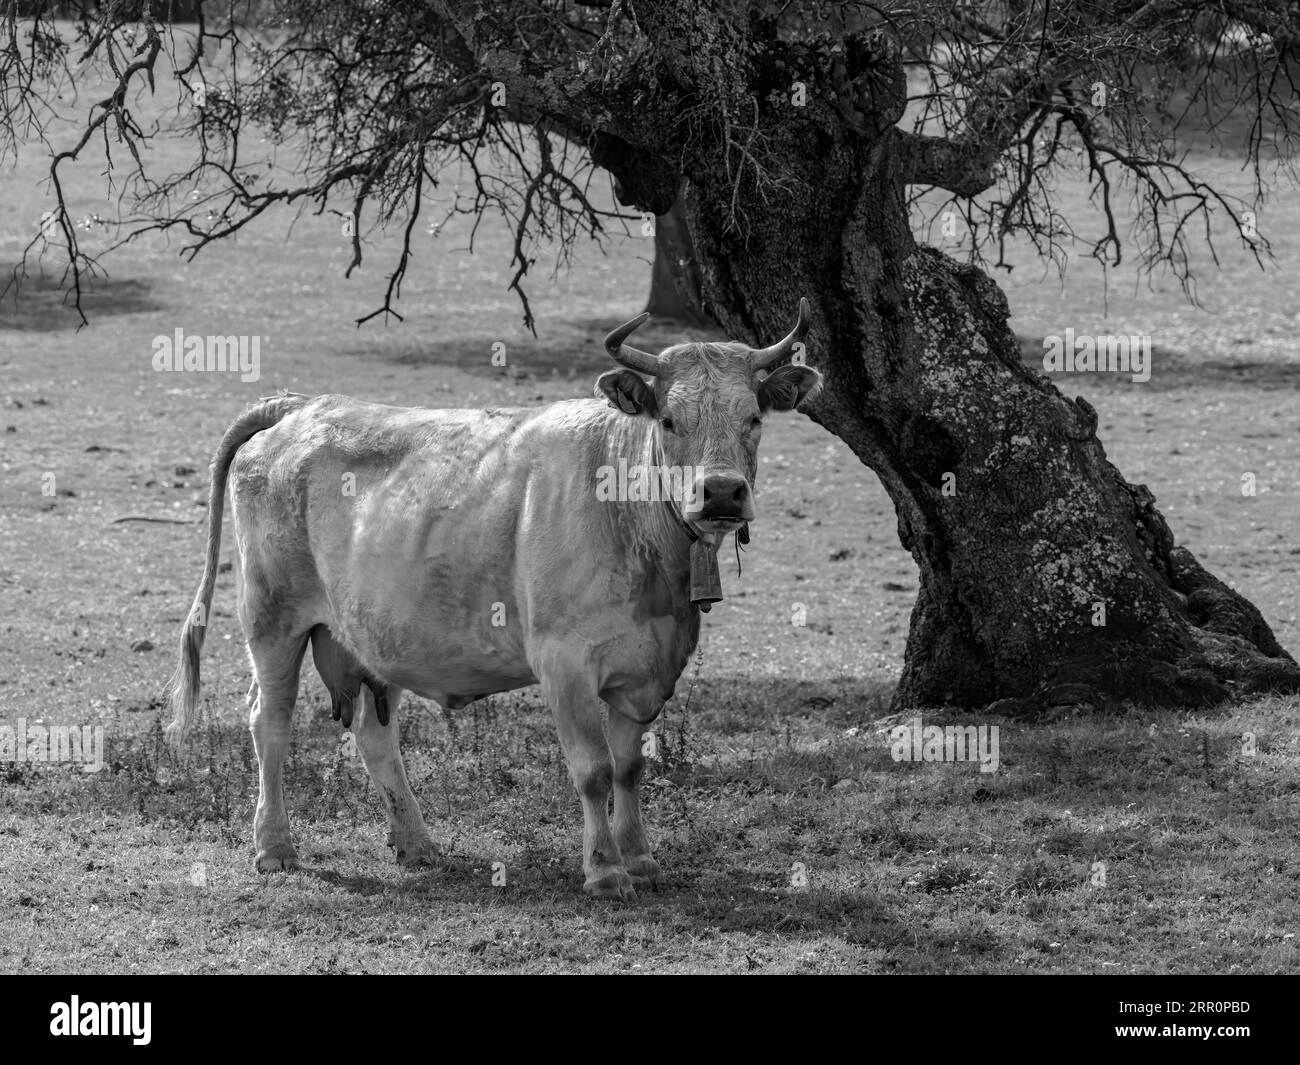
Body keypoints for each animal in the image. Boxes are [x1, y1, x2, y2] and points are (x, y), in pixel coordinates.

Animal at [166, 300, 821, 899]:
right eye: (669, 420)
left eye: (753, 416)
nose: (721, 492)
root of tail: (300, 406)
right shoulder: (563, 662)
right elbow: (593, 770)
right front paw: (604, 870)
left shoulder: (646, 669)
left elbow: (631, 767)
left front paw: (639, 859)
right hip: (273, 619)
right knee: (269, 722)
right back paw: (274, 846)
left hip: (374, 635)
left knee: (375, 736)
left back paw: (416, 843)